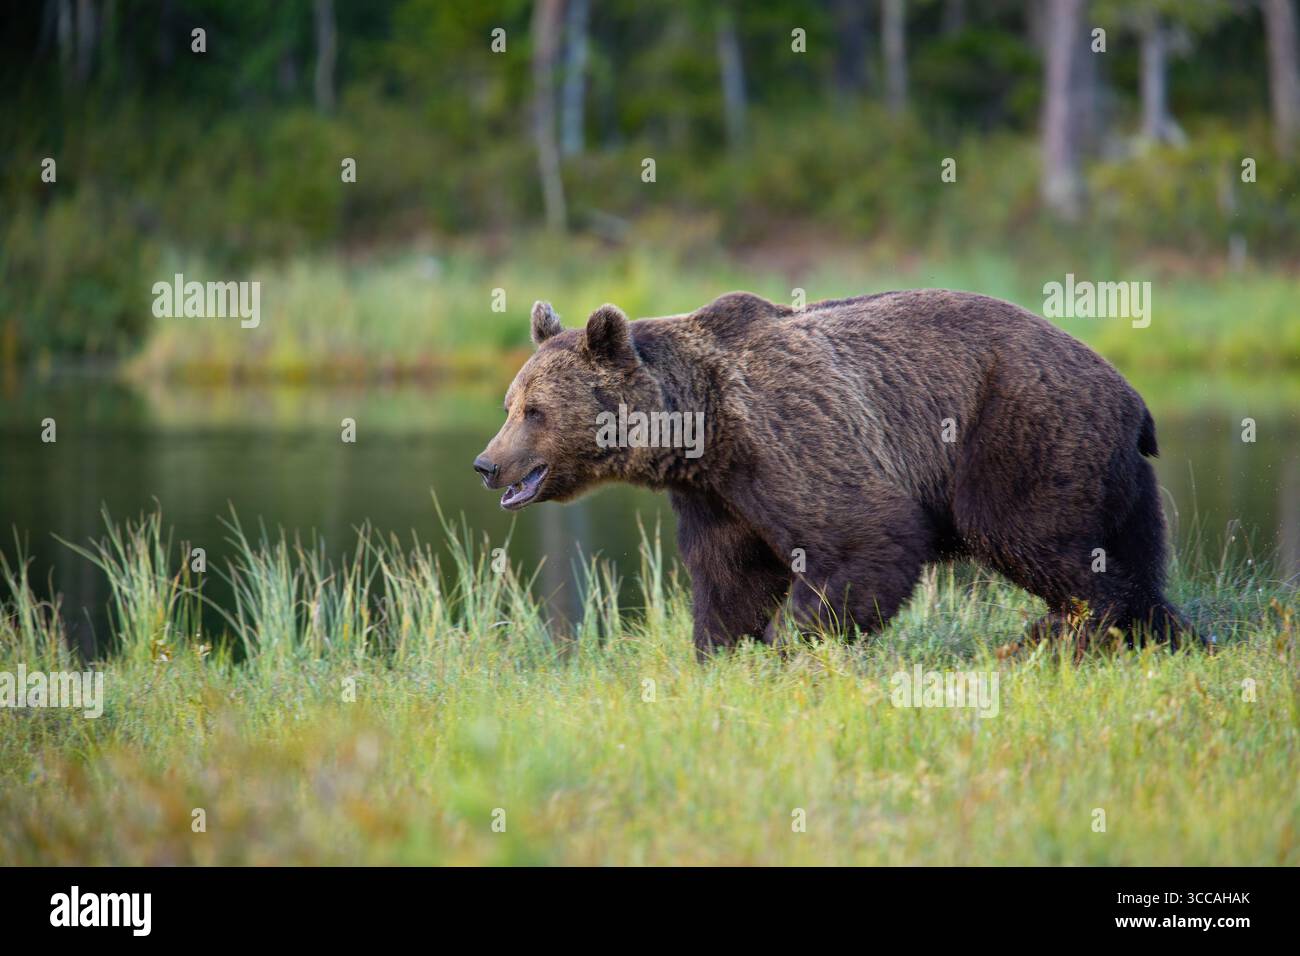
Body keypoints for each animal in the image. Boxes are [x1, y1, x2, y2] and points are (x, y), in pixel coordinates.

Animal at [473, 290, 1193, 655]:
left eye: (534, 410)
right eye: (508, 404)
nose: (486, 463)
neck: (697, 426)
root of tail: (1134, 399)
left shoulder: (787, 433)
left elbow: (864, 532)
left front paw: (799, 636)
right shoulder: (718, 492)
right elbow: (730, 575)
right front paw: (724, 648)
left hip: (1021, 428)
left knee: (1036, 537)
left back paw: (1061, 631)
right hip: (1118, 473)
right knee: (1133, 554)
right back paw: (1168, 634)